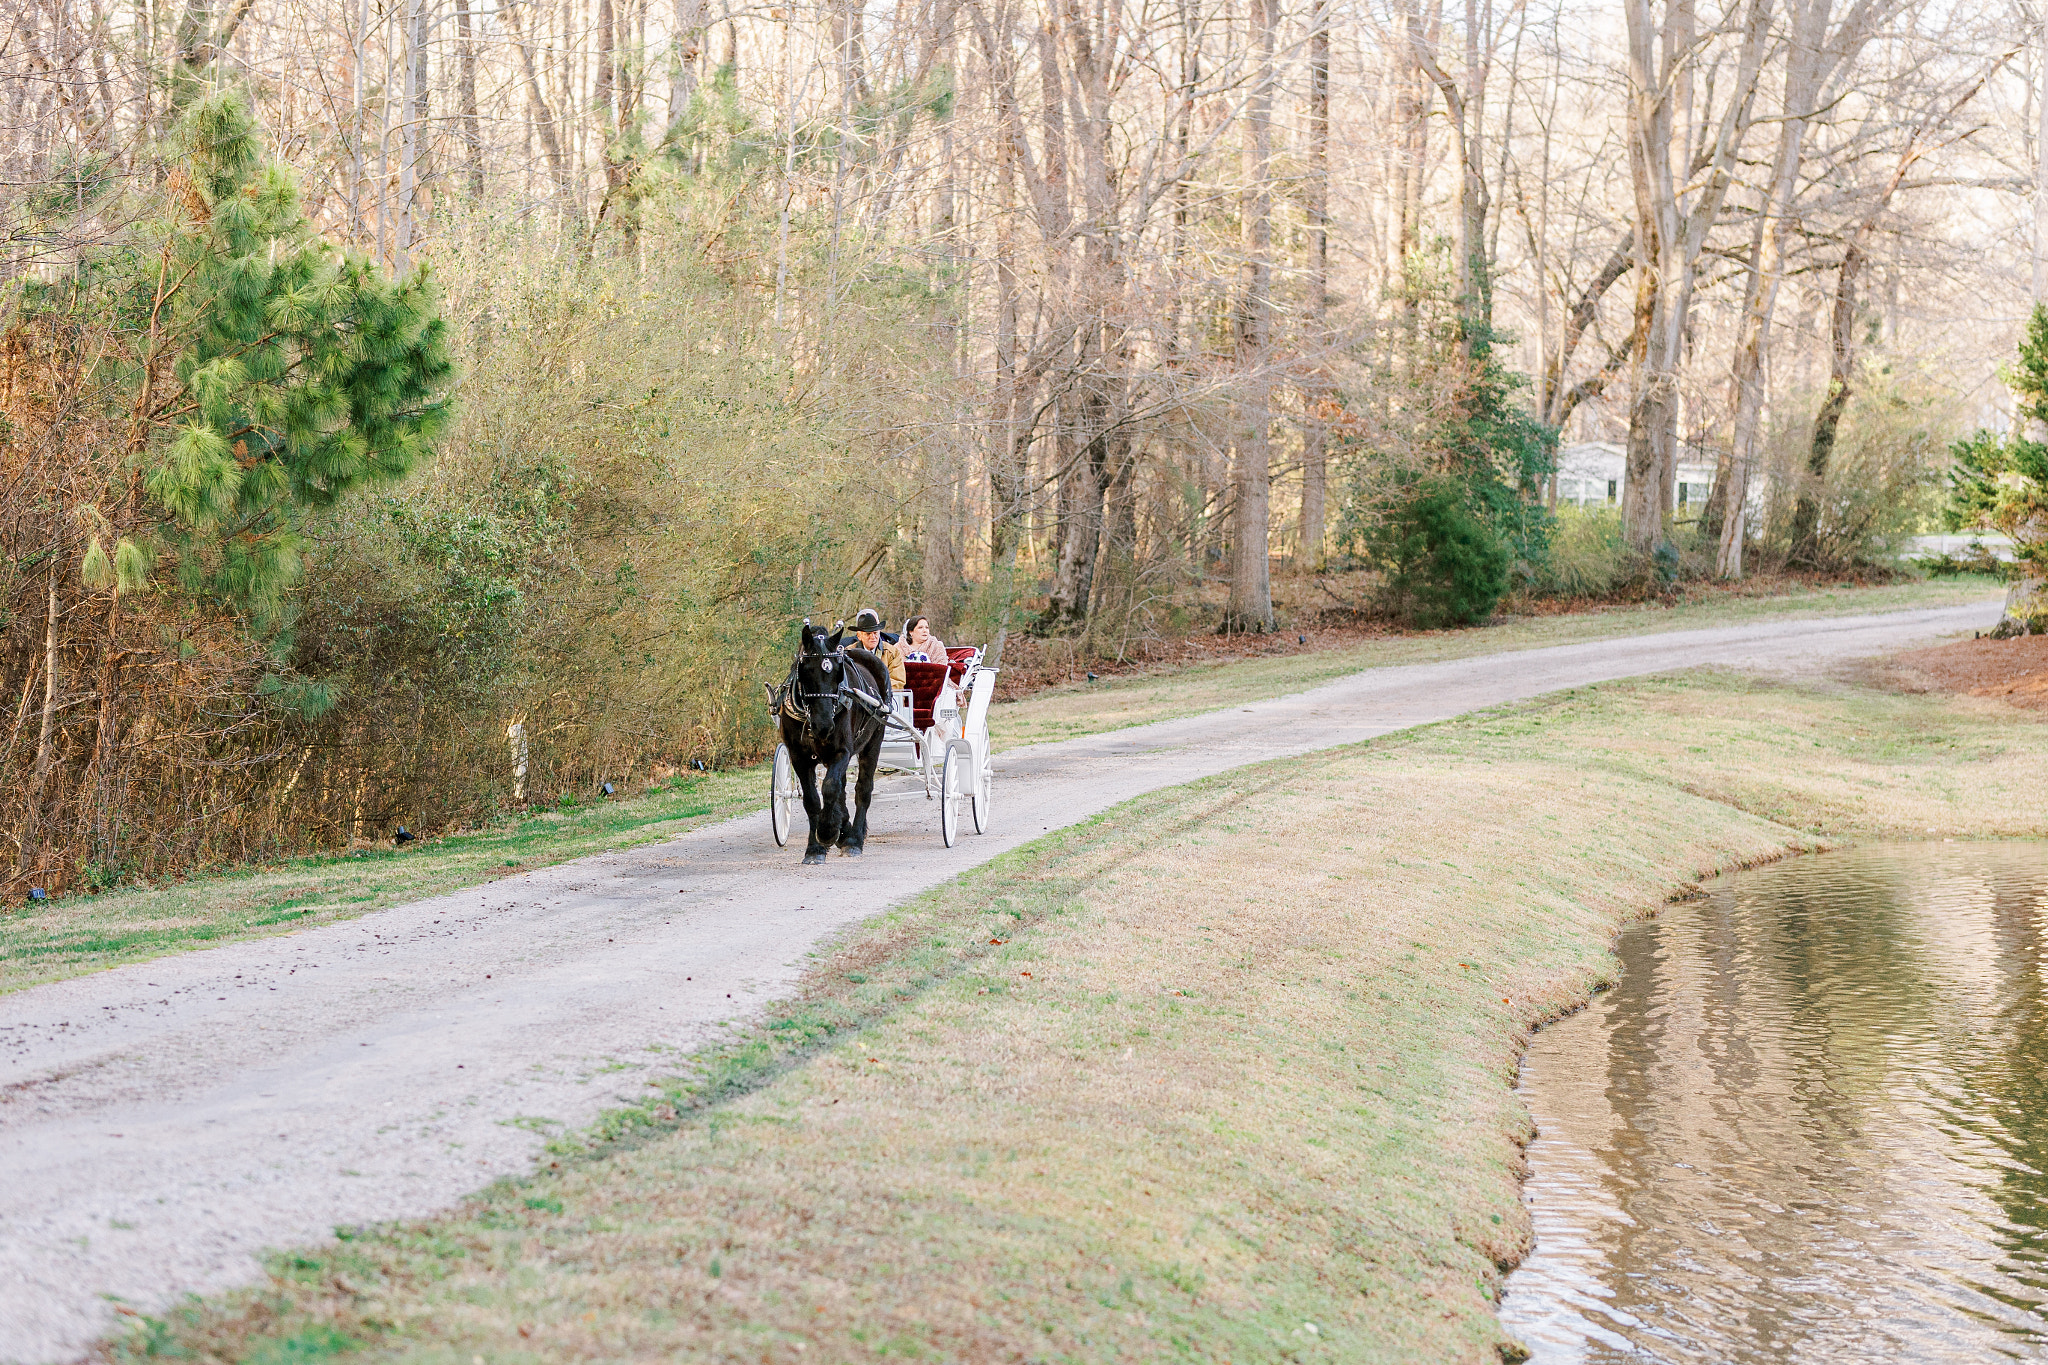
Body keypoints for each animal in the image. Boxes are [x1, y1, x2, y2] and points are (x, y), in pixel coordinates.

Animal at [774, 622, 888, 863]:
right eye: (805, 671)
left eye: (838, 672)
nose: (824, 725)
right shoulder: (799, 757)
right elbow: (812, 799)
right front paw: (815, 848)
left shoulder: (841, 752)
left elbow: (830, 788)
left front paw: (827, 831)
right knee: (843, 791)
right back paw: (843, 830)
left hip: (874, 740)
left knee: (863, 789)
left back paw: (854, 839)